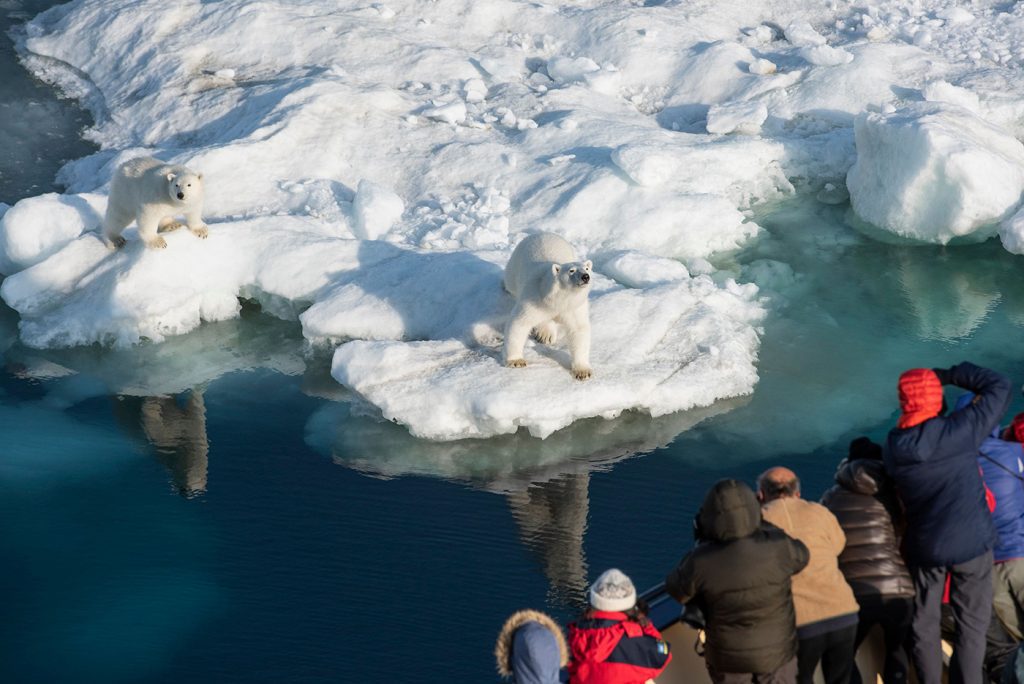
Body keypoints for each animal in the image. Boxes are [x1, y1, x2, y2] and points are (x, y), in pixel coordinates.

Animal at [501, 229, 593, 378]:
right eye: (571, 270)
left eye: (587, 268)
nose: (585, 277)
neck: (557, 300)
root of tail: (541, 233)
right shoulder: (534, 298)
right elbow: (519, 323)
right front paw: (516, 361)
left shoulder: (573, 307)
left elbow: (578, 330)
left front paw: (582, 371)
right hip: (514, 266)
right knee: (510, 283)